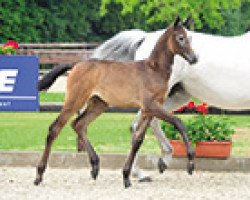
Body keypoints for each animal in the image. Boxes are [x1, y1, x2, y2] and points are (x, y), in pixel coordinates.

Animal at [34, 17, 197, 188]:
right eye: (180, 38)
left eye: (190, 38)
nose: (194, 58)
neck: (154, 70)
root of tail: (76, 65)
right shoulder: (151, 106)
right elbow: (178, 122)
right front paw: (190, 164)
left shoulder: (148, 110)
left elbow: (138, 139)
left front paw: (126, 176)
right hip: (75, 101)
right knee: (55, 128)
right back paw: (39, 175)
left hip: (99, 104)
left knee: (79, 124)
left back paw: (95, 166)